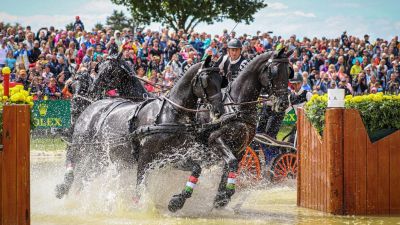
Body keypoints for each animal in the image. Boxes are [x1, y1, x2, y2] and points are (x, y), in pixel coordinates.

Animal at [55, 55, 225, 199]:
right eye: (206, 80)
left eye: (221, 80)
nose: (219, 110)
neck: (171, 114)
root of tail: (91, 107)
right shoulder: (145, 159)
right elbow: (139, 188)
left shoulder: (171, 158)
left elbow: (196, 168)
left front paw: (177, 201)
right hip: (83, 147)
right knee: (73, 162)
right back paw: (65, 187)